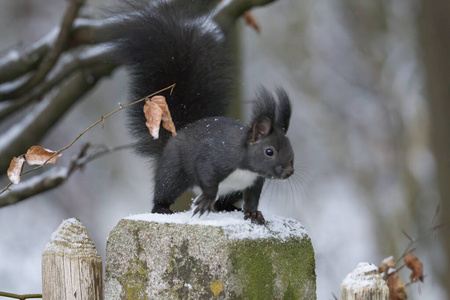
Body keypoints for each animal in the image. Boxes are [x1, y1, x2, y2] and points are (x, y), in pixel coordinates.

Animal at [110, 0, 296, 224]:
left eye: (291, 149)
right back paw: (162, 208)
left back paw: (230, 208)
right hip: (174, 171)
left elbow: (252, 197)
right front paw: (206, 199)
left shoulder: (254, 181)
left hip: (231, 192)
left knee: (223, 203)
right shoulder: (214, 158)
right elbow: (207, 175)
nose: (289, 172)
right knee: (165, 189)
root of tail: (178, 133)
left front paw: (253, 213)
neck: (245, 166)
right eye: (269, 151)